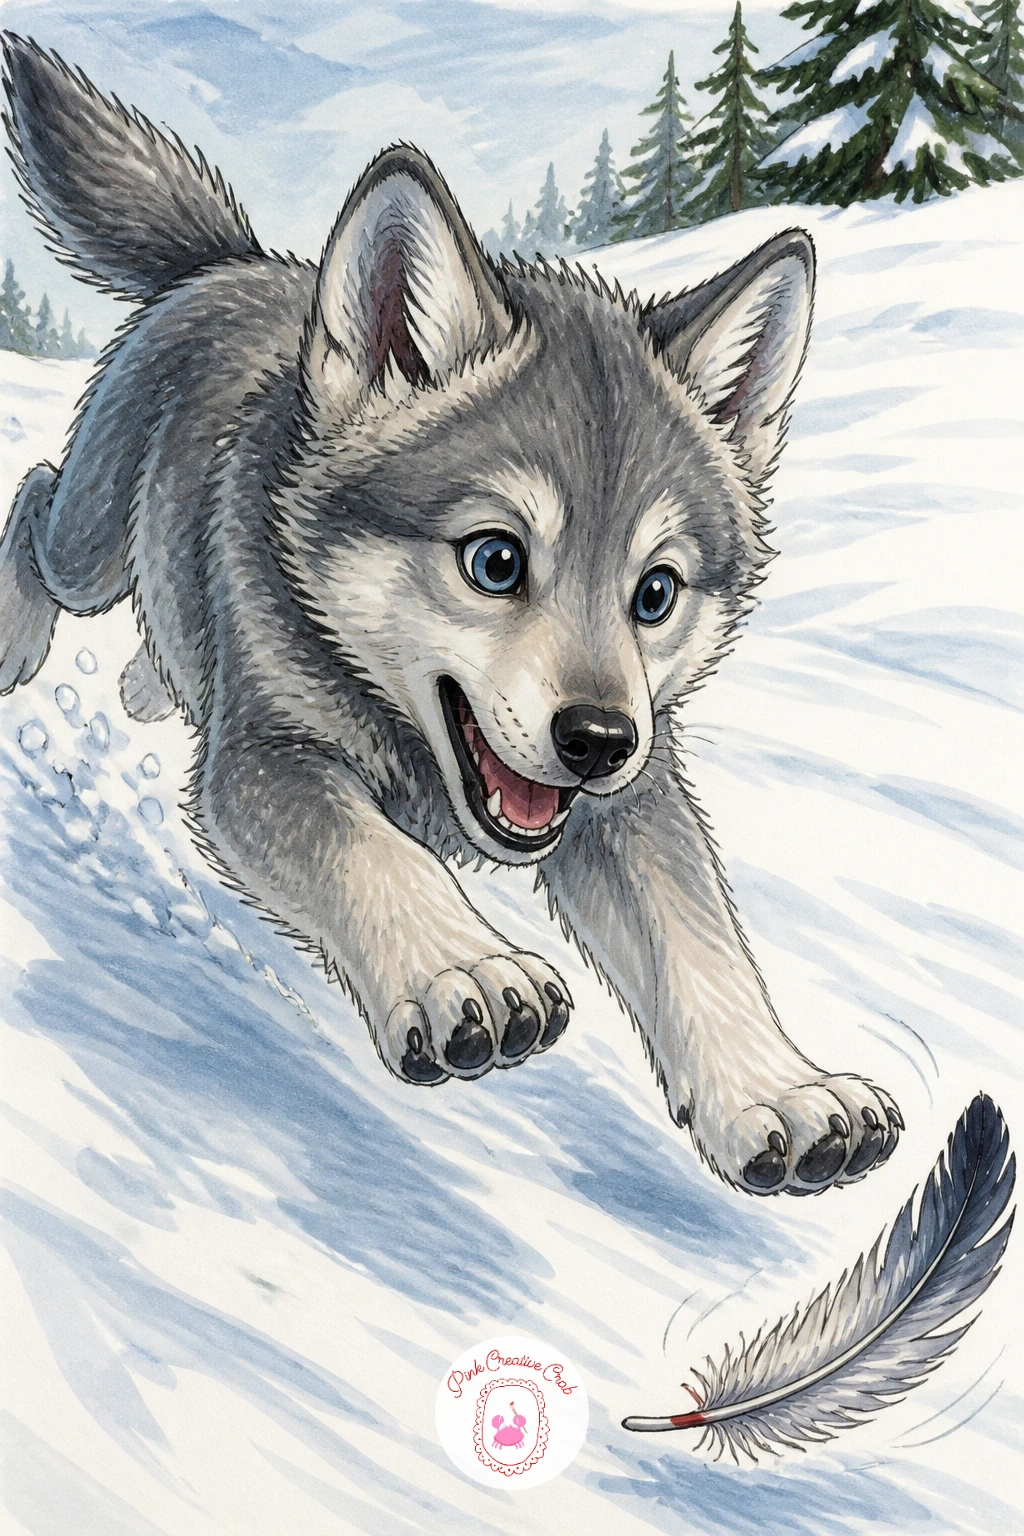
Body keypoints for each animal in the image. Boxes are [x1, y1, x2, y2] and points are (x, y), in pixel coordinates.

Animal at [0, 37, 901, 1196]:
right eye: (495, 560)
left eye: (654, 593)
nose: (598, 739)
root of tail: (232, 262)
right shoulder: (265, 765)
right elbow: (375, 856)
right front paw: (463, 967)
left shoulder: (634, 803)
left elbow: (705, 944)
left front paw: (780, 1090)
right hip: (89, 547)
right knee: (33, 501)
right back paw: (16, 643)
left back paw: (148, 684)